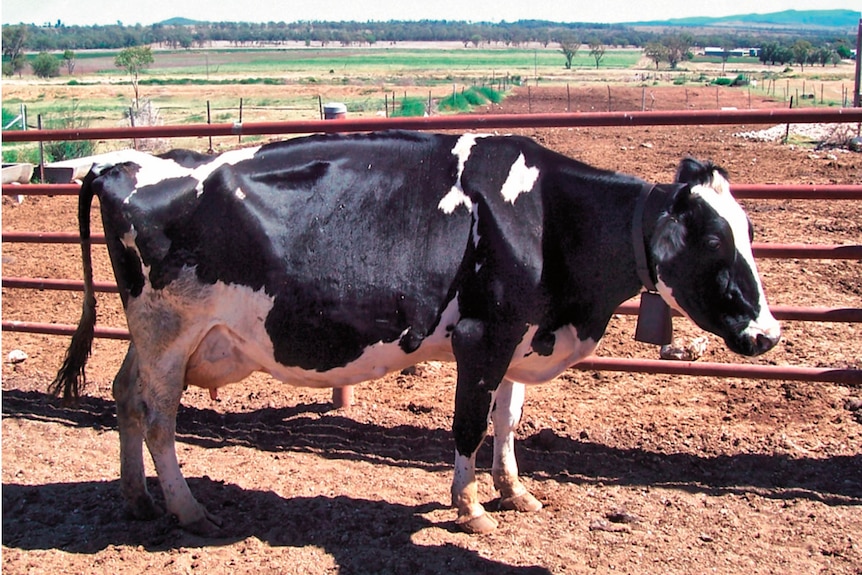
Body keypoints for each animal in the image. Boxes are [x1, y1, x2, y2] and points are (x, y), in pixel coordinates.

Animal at [54, 130, 784, 536]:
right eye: (712, 240)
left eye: (750, 230)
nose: (769, 333)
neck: (548, 214)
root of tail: (125, 165)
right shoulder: (482, 335)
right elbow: (468, 424)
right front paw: (470, 507)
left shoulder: (519, 337)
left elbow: (508, 420)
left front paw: (516, 491)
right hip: (169, 333)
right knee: (158, 418)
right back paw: (186, 509)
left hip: (149, 337)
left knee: (124, 396)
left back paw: (137, 499)